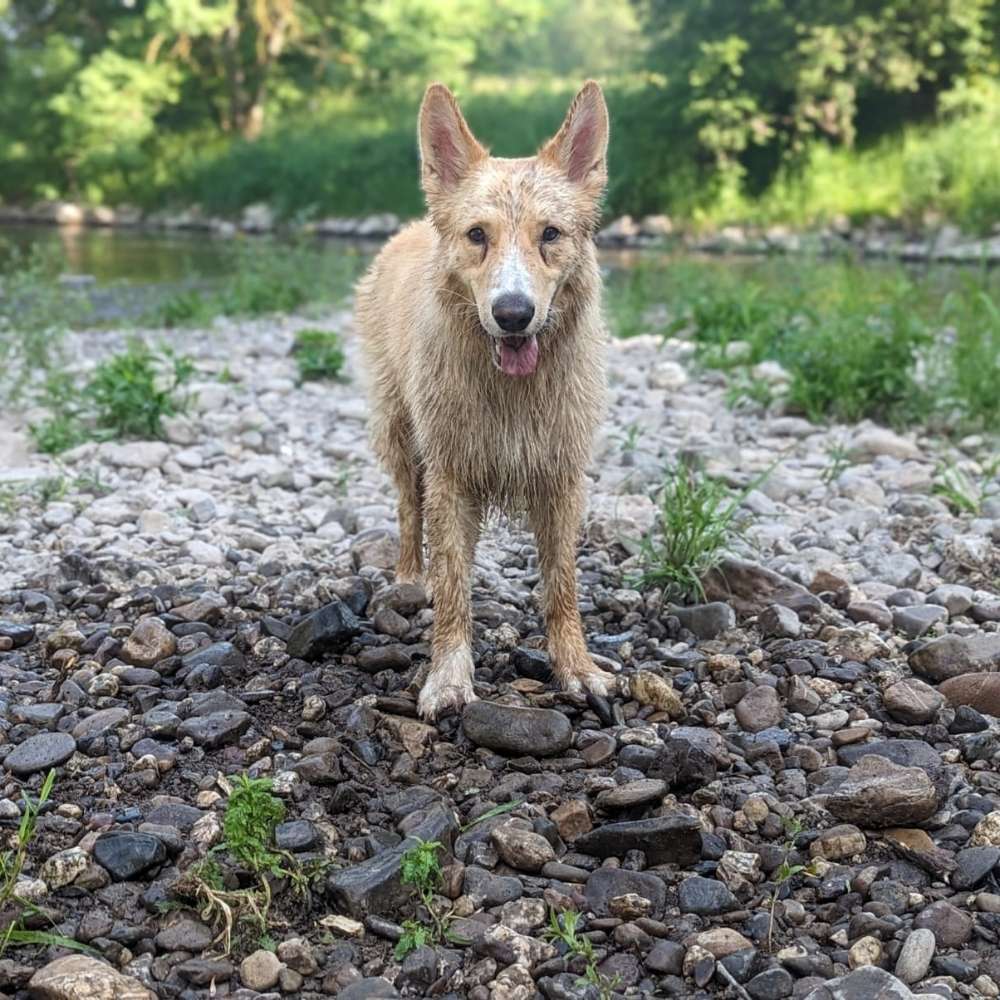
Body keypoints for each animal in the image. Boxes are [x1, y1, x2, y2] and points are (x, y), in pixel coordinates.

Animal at [356, 80, 612, 720]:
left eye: (550, 234)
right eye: (478, 235)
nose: (513, 313)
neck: (511, 392)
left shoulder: (562, 478)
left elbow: (562, 585)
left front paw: (576, 668)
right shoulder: (450, 475)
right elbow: (453, 588)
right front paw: (449, 676)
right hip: (401, 435)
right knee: (408, 510)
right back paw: (408, 579)